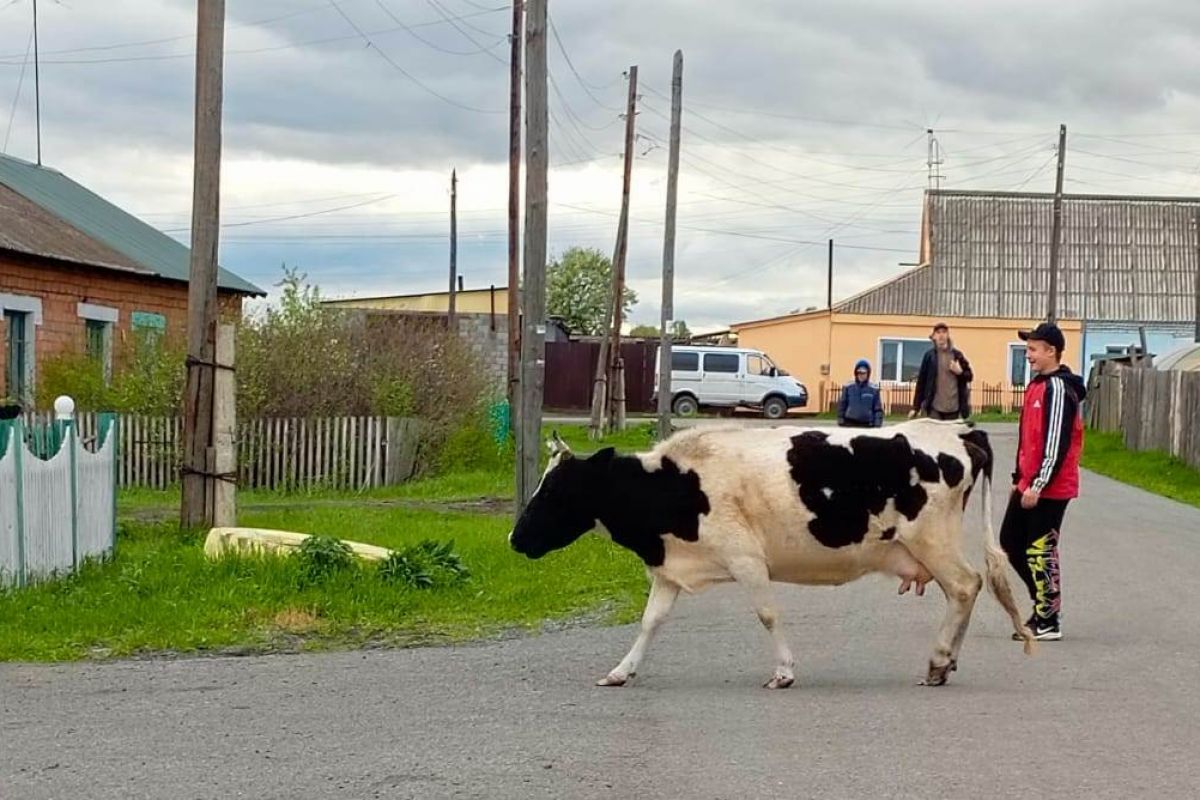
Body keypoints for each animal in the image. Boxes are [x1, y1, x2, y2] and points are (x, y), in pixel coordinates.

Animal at [511, 419, 1036, 690]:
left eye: (554, 491)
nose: (515, 540)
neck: (673, 484)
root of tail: (956, 431)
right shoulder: (671, 568)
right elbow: (650, 621)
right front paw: (622, 671)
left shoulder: (746, 559)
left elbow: (767, 614)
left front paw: (784, 672)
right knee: (966, 591)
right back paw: (946, 663)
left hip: (934, 540)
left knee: (966, 585)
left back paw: (938, 660)